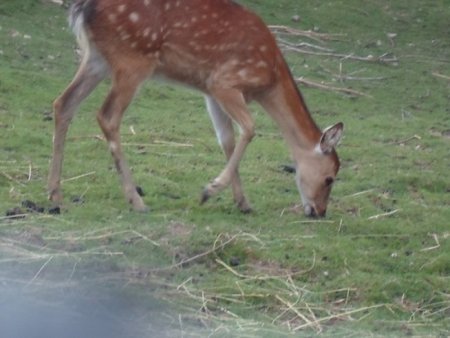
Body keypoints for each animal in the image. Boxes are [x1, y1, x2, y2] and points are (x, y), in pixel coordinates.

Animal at [48, 0, 344, 217]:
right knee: (107, 116)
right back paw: (136, 201)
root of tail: (83, 8)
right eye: (330, 178)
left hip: (96, 57)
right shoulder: (224, 82)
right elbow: (249, 129)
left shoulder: (210, 92)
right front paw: (209, 190)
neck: (269, 79)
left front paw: (243, 203)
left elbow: (226, 139)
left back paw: (54, 195)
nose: (320, 212)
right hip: (132, 60)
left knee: (63, 103)